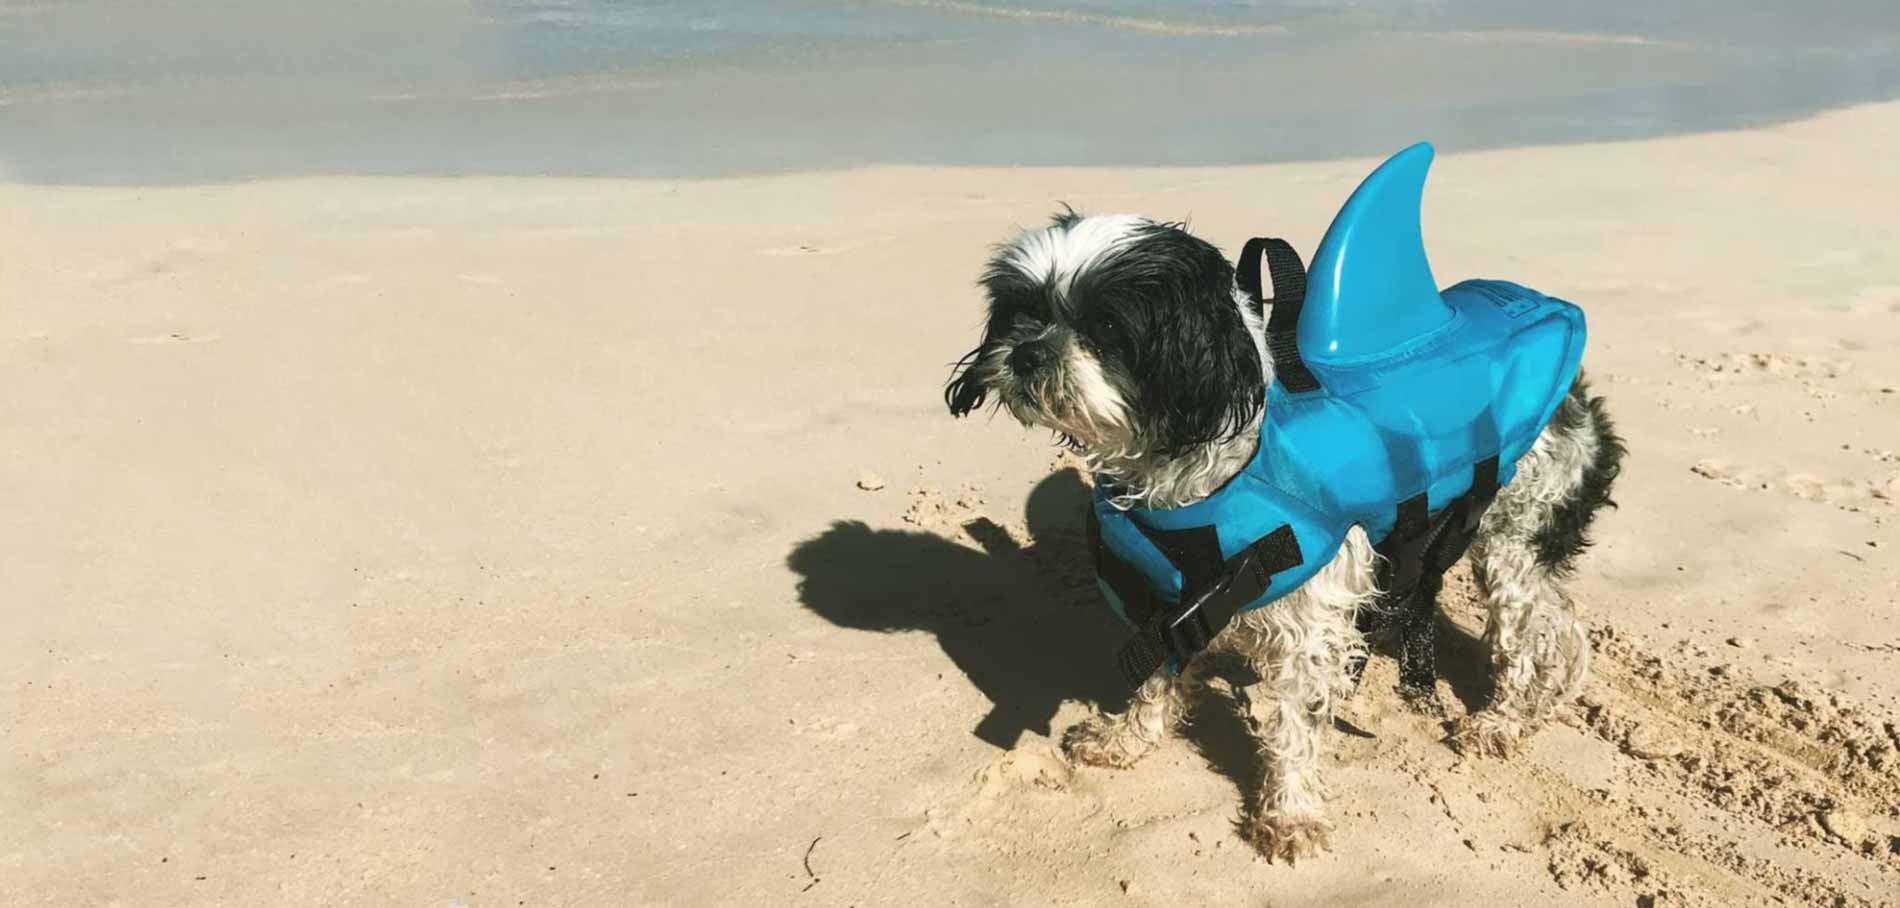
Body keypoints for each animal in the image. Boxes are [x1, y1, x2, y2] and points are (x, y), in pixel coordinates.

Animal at [942, 208, 1626, 862]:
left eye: (1108, 329)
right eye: (1021, 312)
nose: (1027, 353)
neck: (1212, 471)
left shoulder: (1307, 620)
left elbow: (1297, 723)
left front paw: (1291, 812)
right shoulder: (1175, 597)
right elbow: (1156, 677)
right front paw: (1127, 738)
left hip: (1515, 542)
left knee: (1547, 638)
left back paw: (1504, 720)